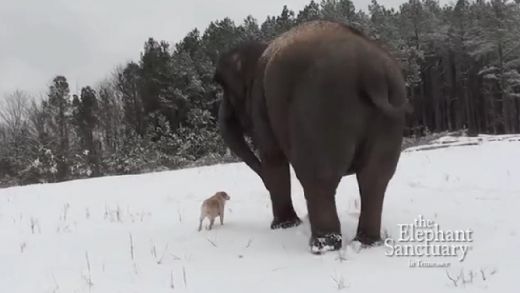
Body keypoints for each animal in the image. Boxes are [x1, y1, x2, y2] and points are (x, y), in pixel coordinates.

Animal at [213, 20, 408, 253]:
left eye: (223, 86)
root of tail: (372, 73)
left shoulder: (262, 104)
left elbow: (273, 156)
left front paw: (282, 226)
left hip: (320, 107)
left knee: (319, 176)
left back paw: (323, 246)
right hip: (389, 115)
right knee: (375, 176)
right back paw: (366, 242)